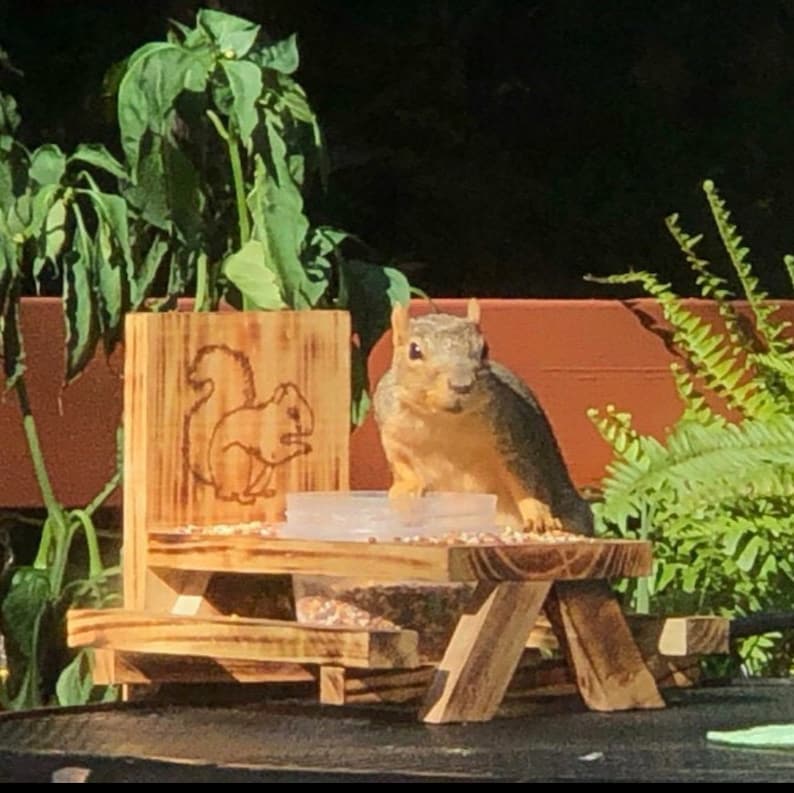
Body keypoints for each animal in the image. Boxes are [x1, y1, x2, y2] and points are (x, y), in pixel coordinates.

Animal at [373, 299, 593, 535]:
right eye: (414, 351)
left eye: (484, 349)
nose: (462, 385)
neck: (442, 421)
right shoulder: (392, 434)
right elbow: (401, 465)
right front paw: (406, 489)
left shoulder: (511, 439)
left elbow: (525, 480)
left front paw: (538, 514)